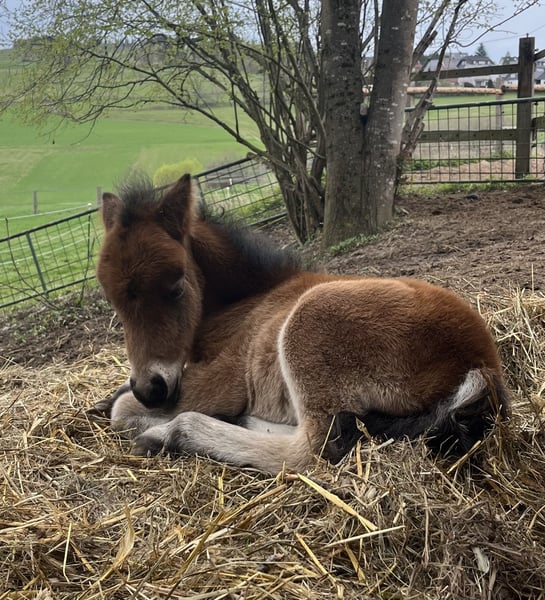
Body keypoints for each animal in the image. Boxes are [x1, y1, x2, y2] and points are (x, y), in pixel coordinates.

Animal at [94, 174, 509, 473]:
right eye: (111, 300)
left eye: (177, 286)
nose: (151, 389)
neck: (248, 300)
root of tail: (482, 363)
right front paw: (111, 396)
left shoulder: (225, 380)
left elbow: (122, 412)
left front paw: (139, 414)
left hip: (310, 322)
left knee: (311, 449)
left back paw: (169, 434)